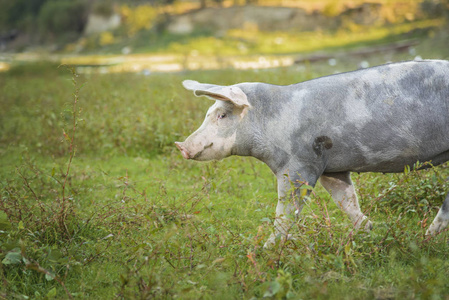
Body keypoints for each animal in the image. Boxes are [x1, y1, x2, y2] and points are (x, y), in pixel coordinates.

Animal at [175, 59, 448, 247]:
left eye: (222, 115)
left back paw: (427, 237)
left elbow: (286, 211)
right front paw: (369, 229)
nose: (182, 147)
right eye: (208, 114)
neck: (272, 123)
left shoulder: (300, 165)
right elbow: (345, 200)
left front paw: (264, 250)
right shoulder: (331, 168)